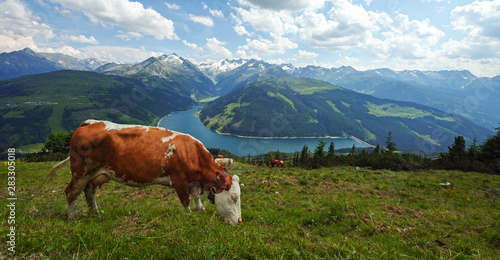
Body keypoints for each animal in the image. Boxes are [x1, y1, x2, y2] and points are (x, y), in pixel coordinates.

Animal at [48, 120, 242, 223]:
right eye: (233, 197)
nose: (240, 221)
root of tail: (89, 123)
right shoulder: (178, 180)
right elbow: (186, 201)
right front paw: (188, 215)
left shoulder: (194, 180)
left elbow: (195, 196)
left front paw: (201, 209)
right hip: (80, 172)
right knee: (71, 192)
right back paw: (72, 217)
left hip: (98, 175)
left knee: (89, 191)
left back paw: (96, 213)